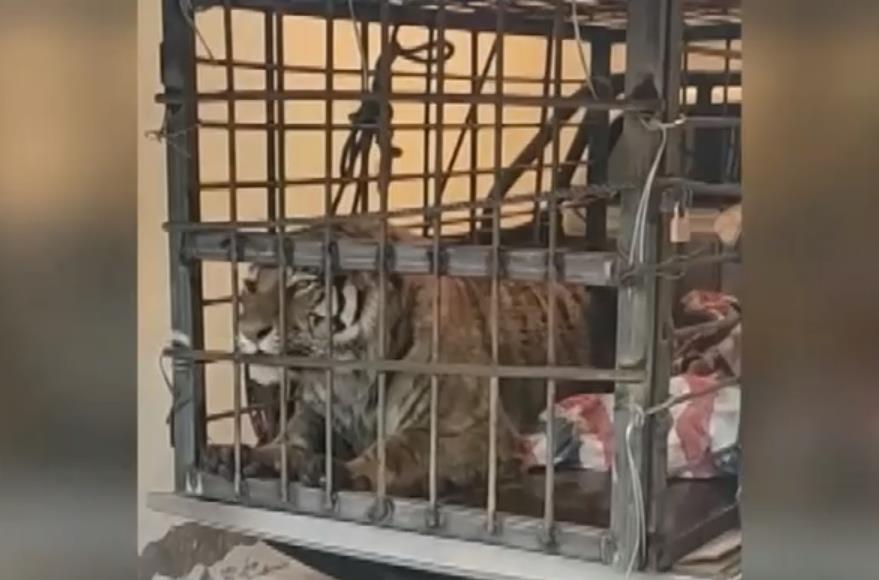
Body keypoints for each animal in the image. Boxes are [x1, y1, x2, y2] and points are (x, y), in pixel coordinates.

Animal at [203, 219, 600, 498]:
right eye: (251, 287)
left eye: (301, 285)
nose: (248, 332)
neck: (348, 376)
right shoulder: (318, 413)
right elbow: (292, 437)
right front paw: (247, 456)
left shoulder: (479, 430)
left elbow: (405, 446)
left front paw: (344, 470)